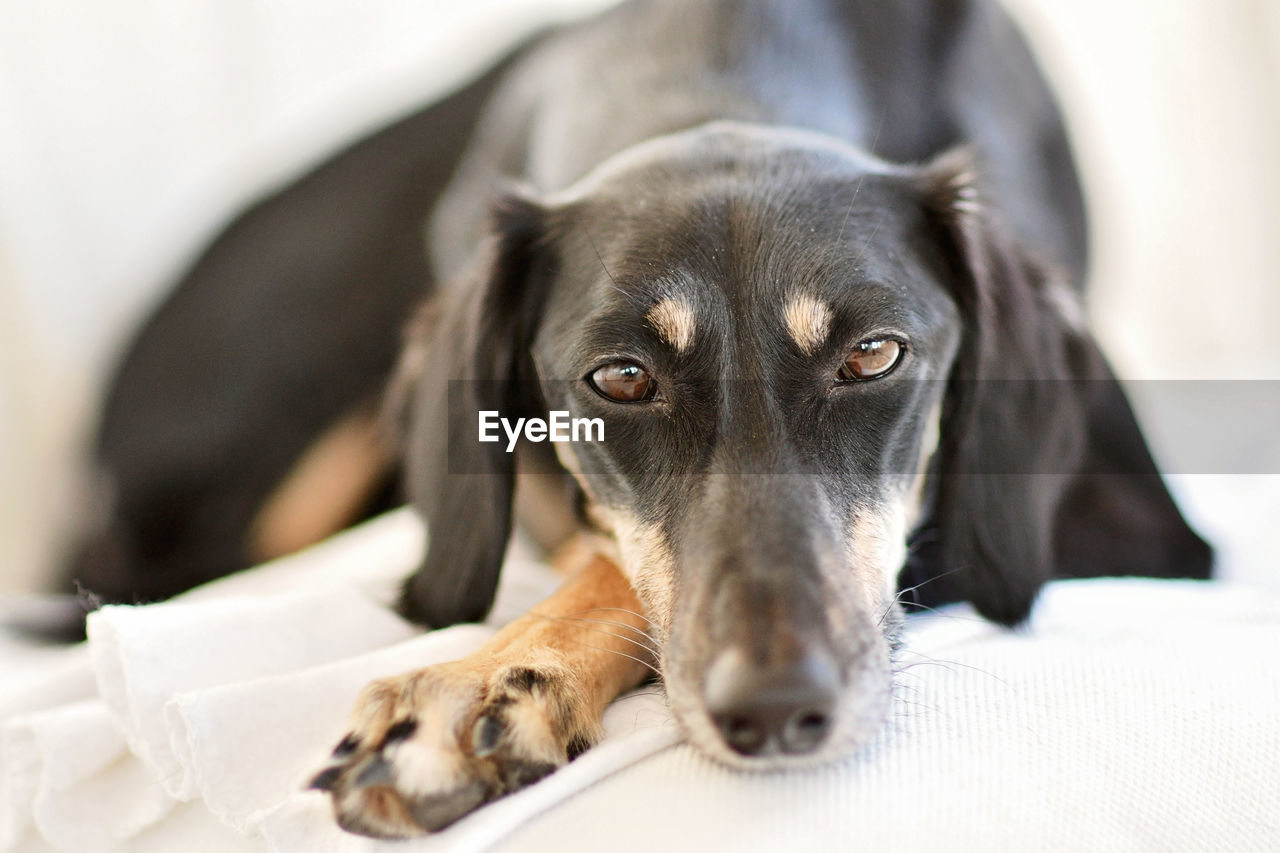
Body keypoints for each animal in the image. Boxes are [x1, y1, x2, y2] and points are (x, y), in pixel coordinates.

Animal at [62, 0, 1208, 835]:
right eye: (618, 379)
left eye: (873, 355)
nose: (776, 711)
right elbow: (606, 551)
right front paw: (489, 679)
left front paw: (487, 686)